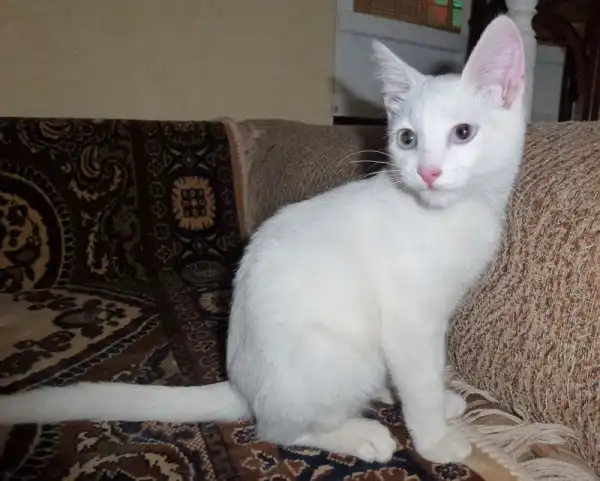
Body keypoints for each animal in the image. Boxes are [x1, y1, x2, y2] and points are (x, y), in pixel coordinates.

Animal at [0, 15, 526, 465]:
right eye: (407, 139)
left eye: (463, 132)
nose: (428, 172)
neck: (451, 216)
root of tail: (241, 383)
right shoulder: (408, 318)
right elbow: (417, 380)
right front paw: (434, 439)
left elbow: (427, 371)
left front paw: (437, 398)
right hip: (334, 353)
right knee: (279, 427)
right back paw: (360, 433)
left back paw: (383, 392)